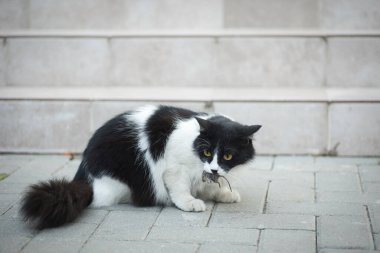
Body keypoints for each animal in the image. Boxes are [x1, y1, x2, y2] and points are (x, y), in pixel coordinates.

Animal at [20, 104, 262, 229]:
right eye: (207, 152)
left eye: (228, 155)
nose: (213, 169)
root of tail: (84, 176)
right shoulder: (174, 168)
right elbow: (180, 188)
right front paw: (190, 202)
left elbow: (210, 185)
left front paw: (224, 193)